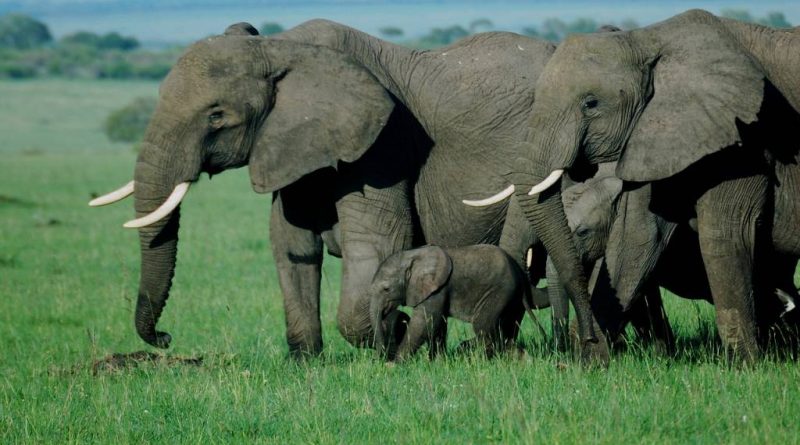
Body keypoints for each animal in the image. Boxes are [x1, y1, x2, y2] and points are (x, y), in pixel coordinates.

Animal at [370, 243, 536, 360]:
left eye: (386, 289)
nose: (382, 358)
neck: (412, 256)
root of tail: (520, 274)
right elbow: (437, 324)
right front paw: (437, 362)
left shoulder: (437, 289)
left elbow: (425, 322)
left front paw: (395, 365)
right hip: (512, 300)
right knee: (506, 329)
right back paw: (522, 359)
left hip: (499, 291)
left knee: (483, 326)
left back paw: (467, 351)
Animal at [468, 8, 800, 360]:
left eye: (591, 104)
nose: (573, 342)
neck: (647, 38)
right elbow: (639, 237)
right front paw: (589, 362)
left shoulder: (745, 139)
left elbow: (727, 233)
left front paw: (744, 364)